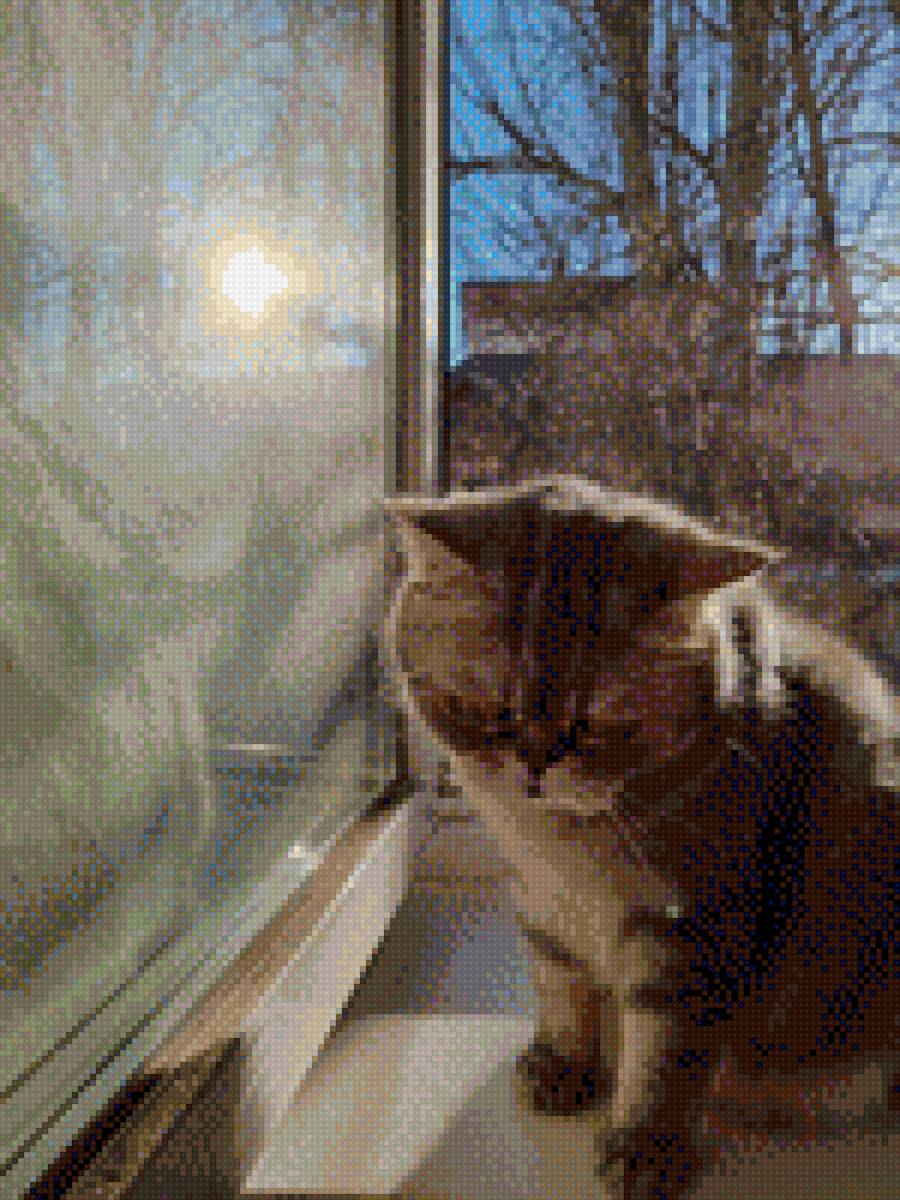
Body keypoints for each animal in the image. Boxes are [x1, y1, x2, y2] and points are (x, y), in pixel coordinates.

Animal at [383, 474, 900, 1199]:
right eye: (498, 713)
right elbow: (562, 989)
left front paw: (645, 1148)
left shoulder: (688, 933)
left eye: (593, 726)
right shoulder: (541, 902)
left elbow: (663, 1058)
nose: (535, 765)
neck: (562, 842)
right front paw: (564, 1066)